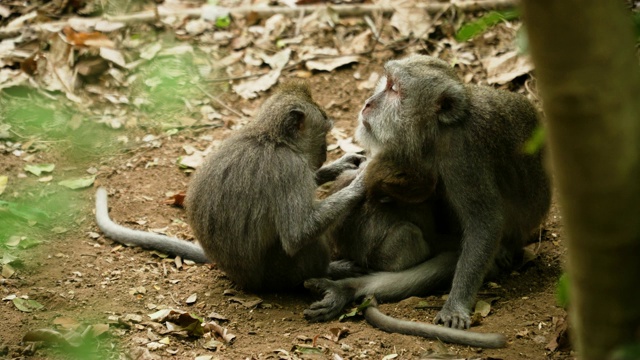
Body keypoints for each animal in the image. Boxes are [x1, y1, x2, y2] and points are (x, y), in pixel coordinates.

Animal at [94, 81, 368, 292]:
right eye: (324, 133)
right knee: (304, 242)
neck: (271, 137)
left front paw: (342, 165)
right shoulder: (289, 168)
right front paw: (360, 183)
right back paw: (330, 271)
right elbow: (297, 234)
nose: (324, 152)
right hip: (278, 274)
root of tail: (240, 278)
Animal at [304, 53, 552, 338]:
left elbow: (484, 222)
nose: (367, 104)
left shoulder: (463, 155)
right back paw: (346, 288)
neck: (436, 131)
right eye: (386, 82)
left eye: (394, 89)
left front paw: (456, 305)